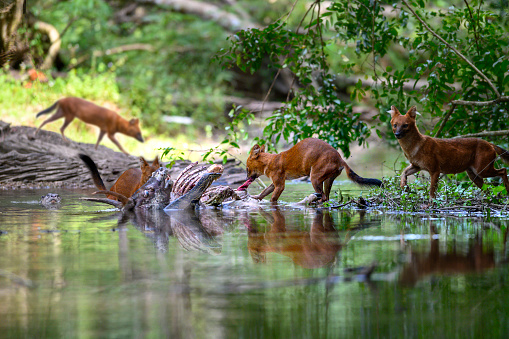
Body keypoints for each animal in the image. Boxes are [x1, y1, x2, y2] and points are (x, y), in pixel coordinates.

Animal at [246, 137, 380, 203]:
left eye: (247, 169)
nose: (246, 178)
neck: (269, 161)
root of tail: (340, 158)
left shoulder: (279, 185)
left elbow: (273, 197)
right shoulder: (276, 183)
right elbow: (264, 191)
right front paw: (255, 198)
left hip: (314, 177)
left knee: (324, 196)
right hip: (328, 179)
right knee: (327, 196)